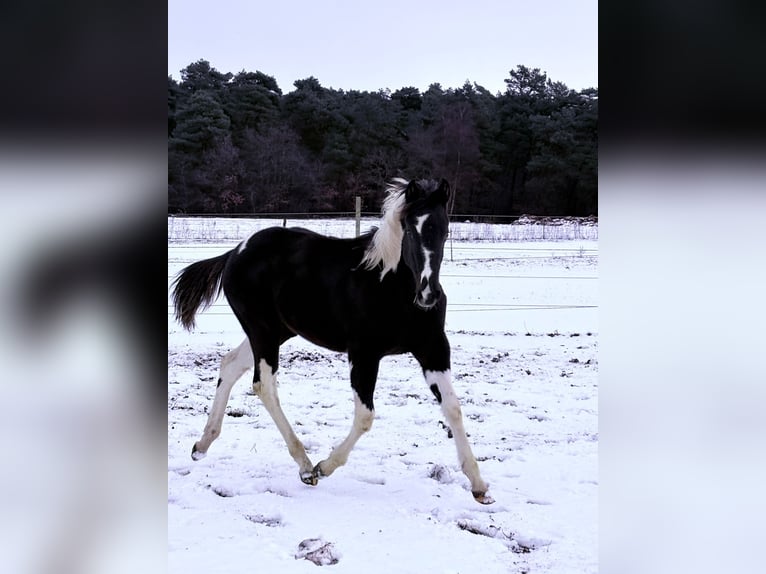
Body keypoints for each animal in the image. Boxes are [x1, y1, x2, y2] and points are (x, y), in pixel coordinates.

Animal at [171, 177, 493, 504]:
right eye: (411, 227)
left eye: (445, 229)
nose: (428, 294)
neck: (390, 287)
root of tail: (235, 252)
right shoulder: (363, 354)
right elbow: (365, 416)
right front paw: (323, 467)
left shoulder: (433, 349)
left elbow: (453, 408)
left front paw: (479, 486)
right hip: (262, 331)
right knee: (264, 385)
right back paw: (304, 466)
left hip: (277, 331)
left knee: (230, 365)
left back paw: (201, 445)